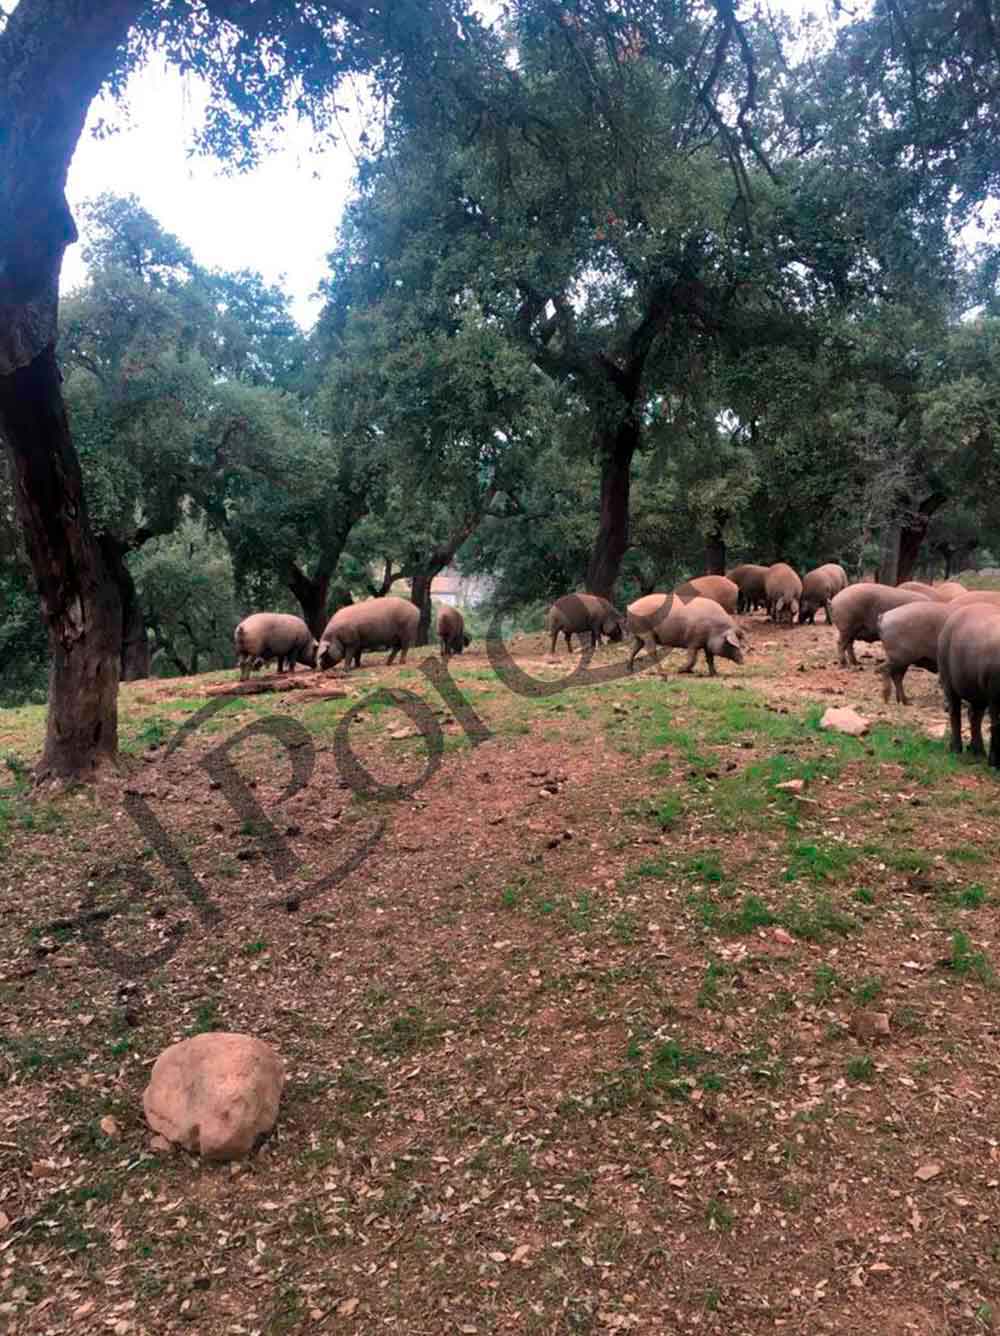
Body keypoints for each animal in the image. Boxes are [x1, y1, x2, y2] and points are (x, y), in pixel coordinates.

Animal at [937, 602, 1000, 764]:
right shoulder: (995, 697)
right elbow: (997, 724)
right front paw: (994, 763)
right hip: (949, 681)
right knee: (955, 712)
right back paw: (956, 748)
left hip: (978, 691)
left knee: (974, 716)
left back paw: (978, 752)